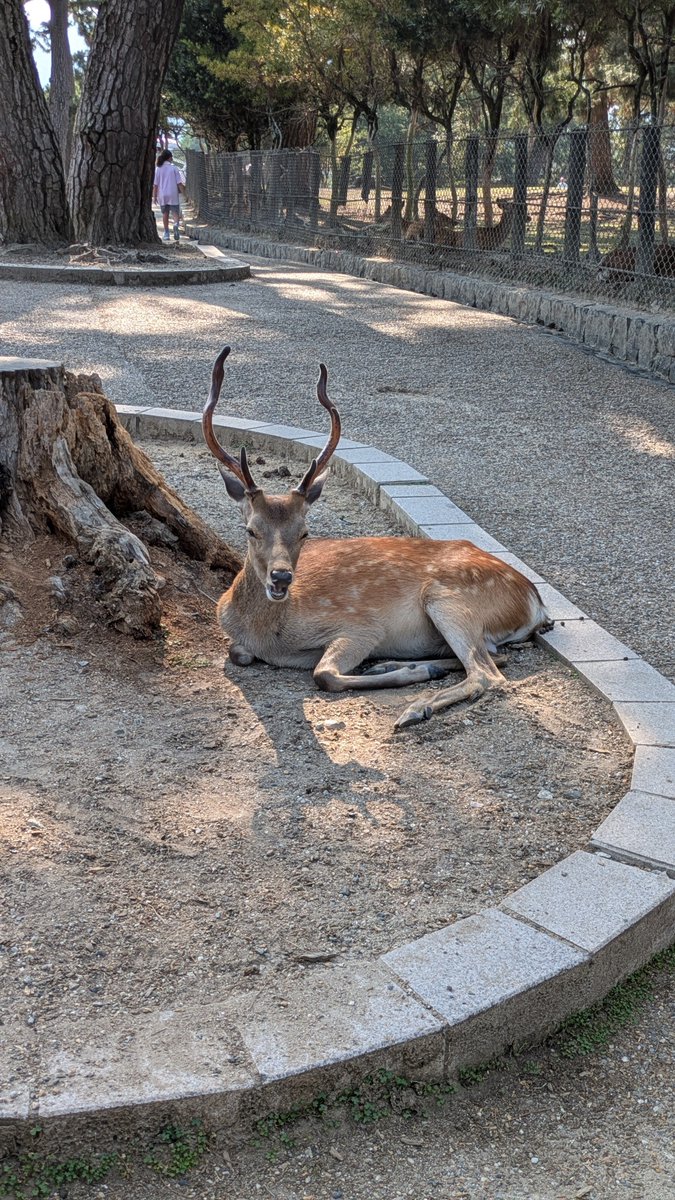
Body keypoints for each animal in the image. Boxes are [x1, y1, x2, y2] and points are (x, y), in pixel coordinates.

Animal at [203, 348, 552, 730]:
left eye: (305, 531)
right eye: (251, 529)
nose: (281, 577)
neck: (268, 635)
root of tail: (536, 603)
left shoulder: (362, 625)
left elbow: (323, 673)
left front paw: (412, 678)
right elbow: (238, 653)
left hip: (449, 598)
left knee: (487, 673)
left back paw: (415, 705)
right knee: (493, 659)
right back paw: (401, 666)